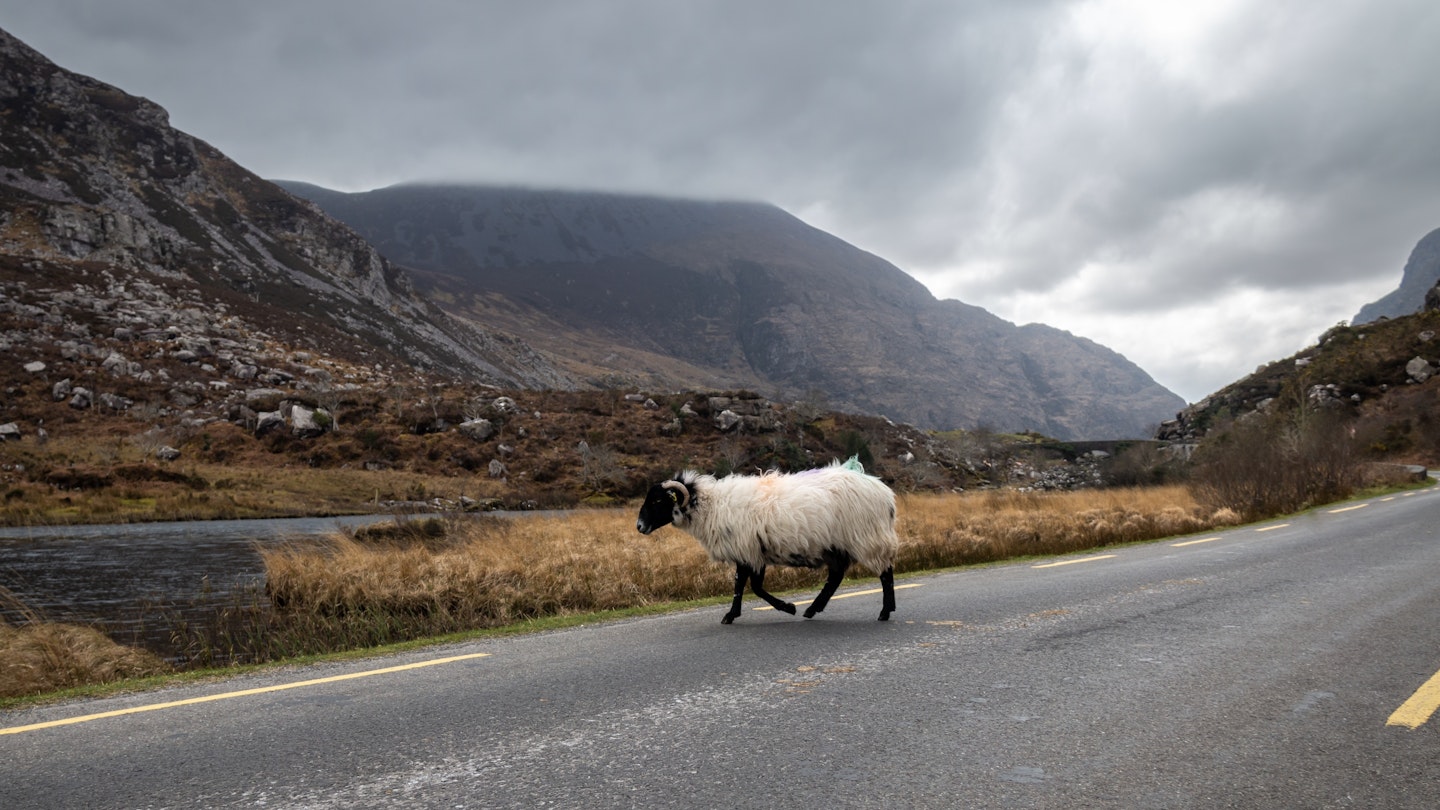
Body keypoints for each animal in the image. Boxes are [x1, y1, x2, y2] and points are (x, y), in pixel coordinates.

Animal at [635, 457, 899, 624]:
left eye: (657, 501)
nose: (639, 526)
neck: (711, 506)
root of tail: (885, 493)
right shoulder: (749, 551)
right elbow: (744, 585)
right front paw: (734, 614)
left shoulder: (749, 550)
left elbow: (751, 586)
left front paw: (786, 608)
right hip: (835, 546)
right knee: (835, 577)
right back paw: (813, 609)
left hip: (867, 537)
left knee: (885, 573)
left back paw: (885, 611)